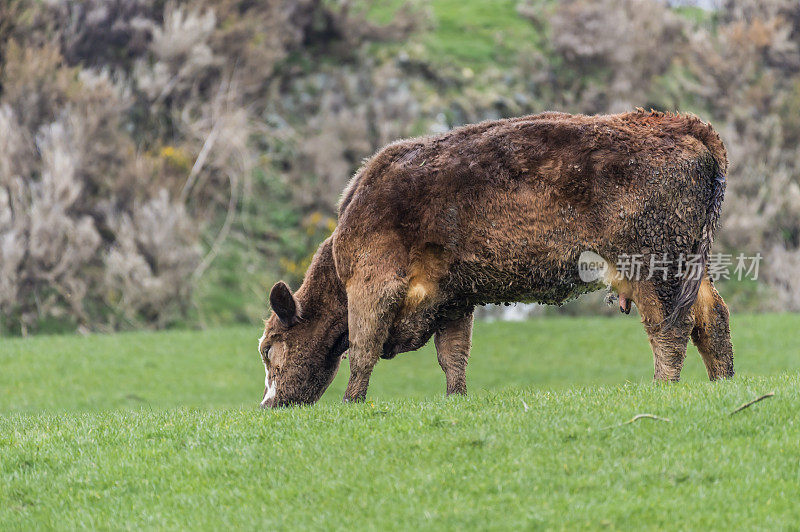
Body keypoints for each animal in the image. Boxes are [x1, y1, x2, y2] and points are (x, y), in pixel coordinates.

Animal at [260, 108, 736, 408]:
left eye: (269, 348)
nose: (267, 407)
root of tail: (675, 122)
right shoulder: (451, 298)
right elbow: (452, 355)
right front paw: (455, 399)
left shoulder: (372, 282)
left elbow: (363, 347)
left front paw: (350, 404)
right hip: (689, 265)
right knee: (712, 317)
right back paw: (722, 383)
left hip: (653, 265)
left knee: (670, 328)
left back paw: (663, 389)